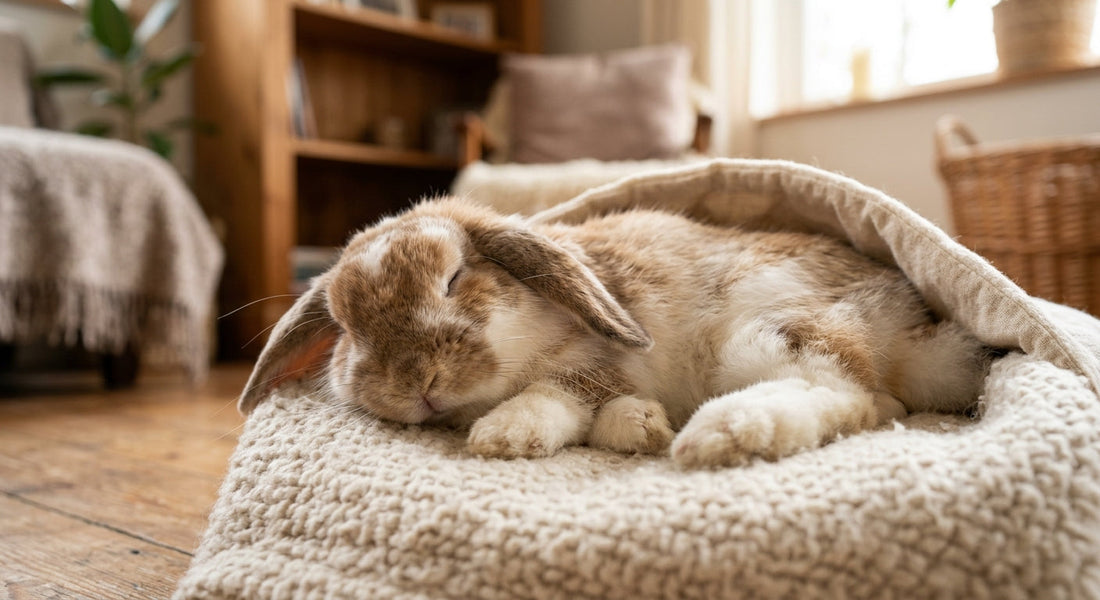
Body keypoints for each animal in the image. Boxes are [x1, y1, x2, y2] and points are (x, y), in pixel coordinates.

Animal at [238, 197, 991, 469]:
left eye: (453, 279)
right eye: (346, 329)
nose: (416, 384)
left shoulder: (594, 362)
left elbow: (559, 394)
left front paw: (505, 436)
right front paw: (640, 427)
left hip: (769, 332)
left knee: (846, 393)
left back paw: (724, 433)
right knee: (873, 402)